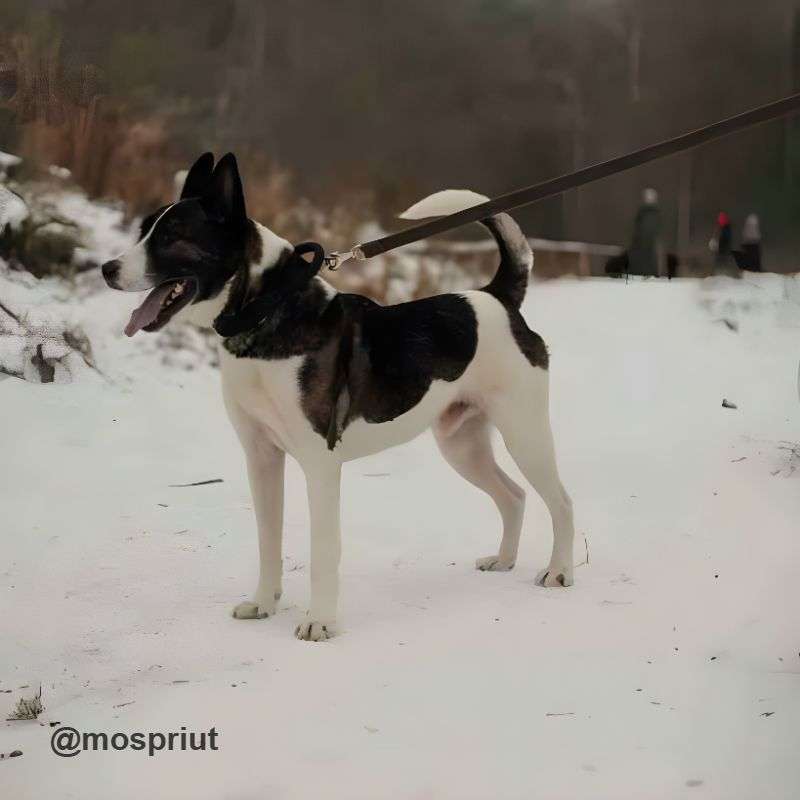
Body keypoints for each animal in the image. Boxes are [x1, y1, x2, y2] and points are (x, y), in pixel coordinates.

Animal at [101, 153, 576, 640]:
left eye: (172, 237)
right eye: (145, 230)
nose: (107, 269)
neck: (270, 311)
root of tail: (497, 298)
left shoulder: (320, 466)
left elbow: (324, 549)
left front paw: (320, 622)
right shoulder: (262, 459)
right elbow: (268, 539)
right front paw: (263, 602)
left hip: (525, 435)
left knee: (561, 501)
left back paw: (559, 571)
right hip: (462, 446)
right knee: (513, 496)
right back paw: (504, 560)